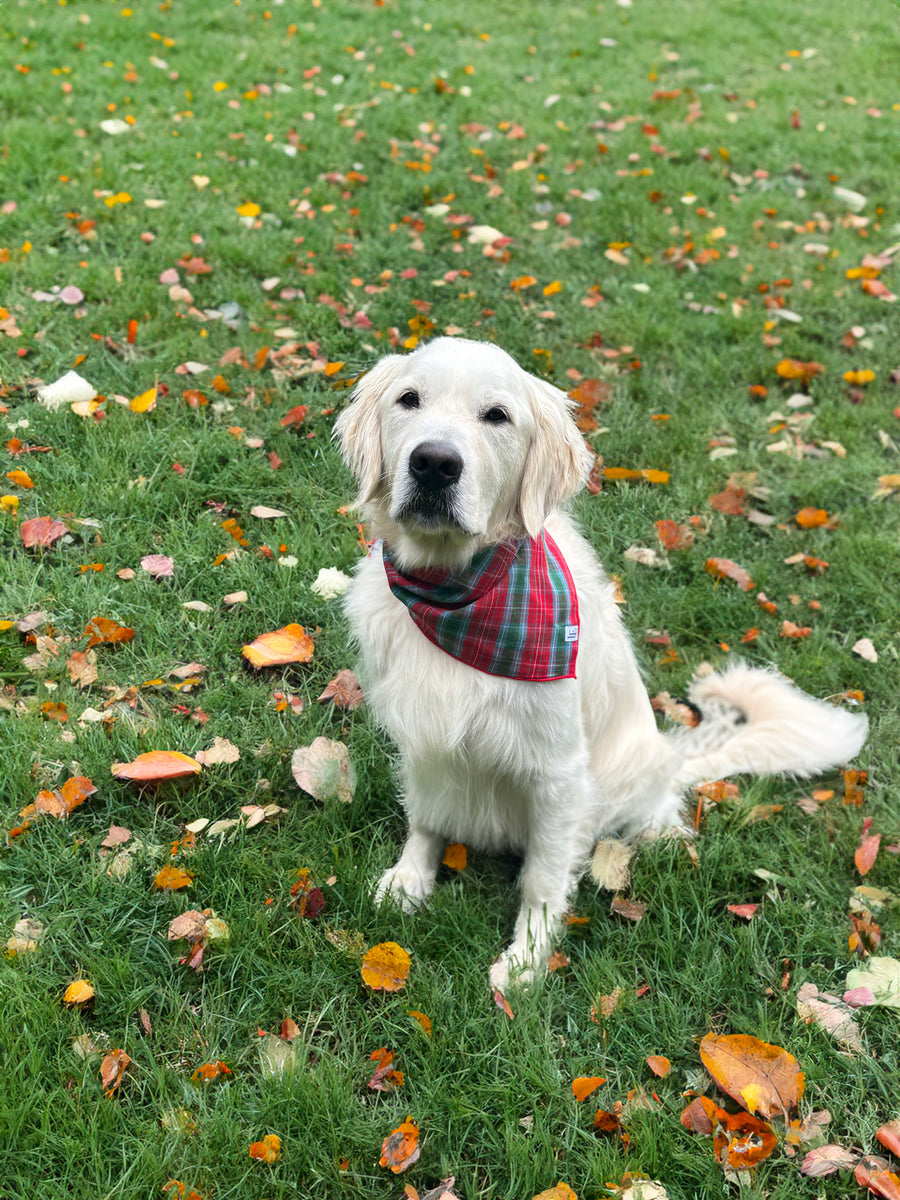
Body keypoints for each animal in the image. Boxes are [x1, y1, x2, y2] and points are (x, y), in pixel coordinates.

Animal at [336, 340, 868, 993]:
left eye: (497, 416)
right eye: (408, 400)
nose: (434, 463)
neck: (458, 593)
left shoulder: (558, 771)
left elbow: (542, 878)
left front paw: (526, 960)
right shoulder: (422, 734)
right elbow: (426, 818)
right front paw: (410, 879)